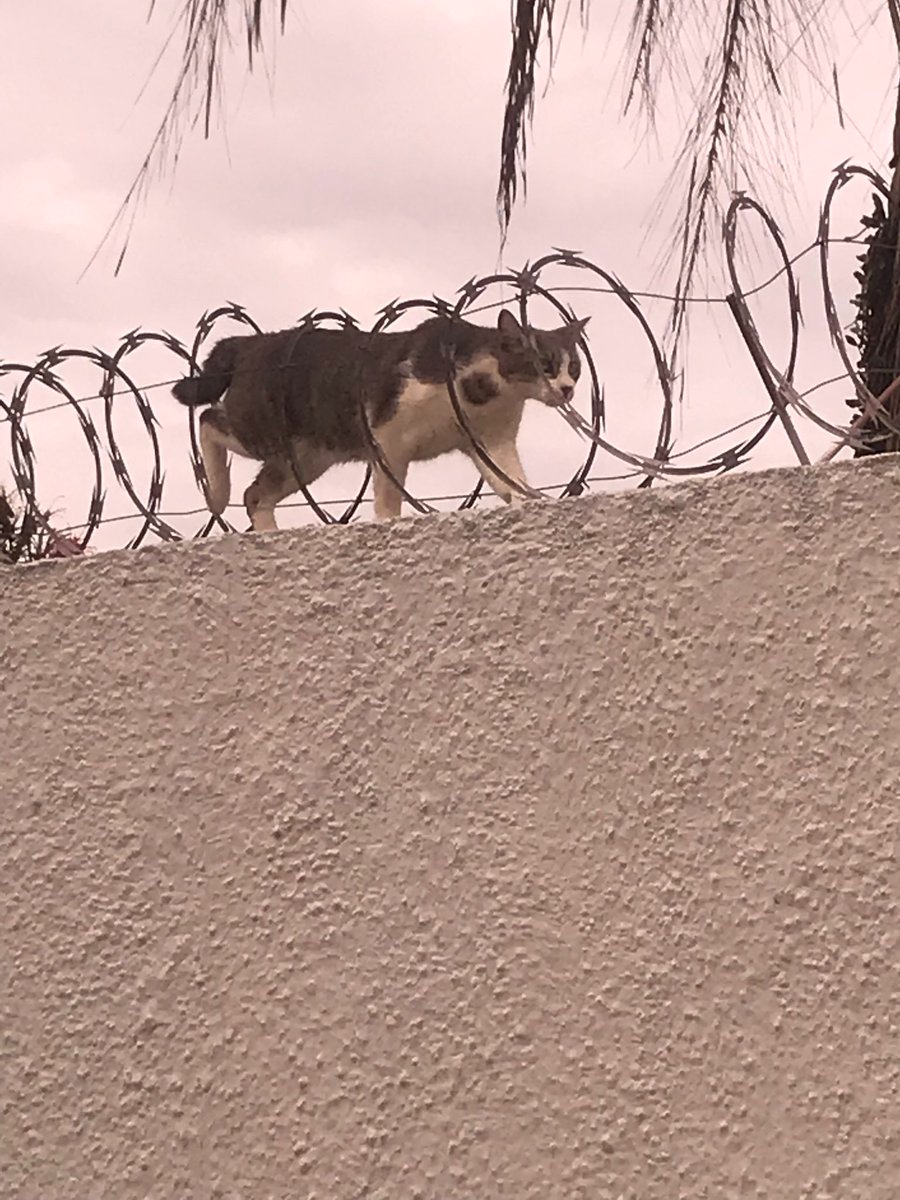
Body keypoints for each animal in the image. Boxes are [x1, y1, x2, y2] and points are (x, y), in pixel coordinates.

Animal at [171, 309, 588, 530]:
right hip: (260, 427)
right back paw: (216, 492)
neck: (484, 395)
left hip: (304, 457)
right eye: (546, 364)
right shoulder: (389, 438)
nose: (567, 389)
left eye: (575, 369)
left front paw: (530, 501)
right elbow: (389, 495)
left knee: (256, 494)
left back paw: (268, 533)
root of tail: (249, 342)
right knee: (208, 419)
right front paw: (388, 520)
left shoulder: (491, 441)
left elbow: (511, 482)